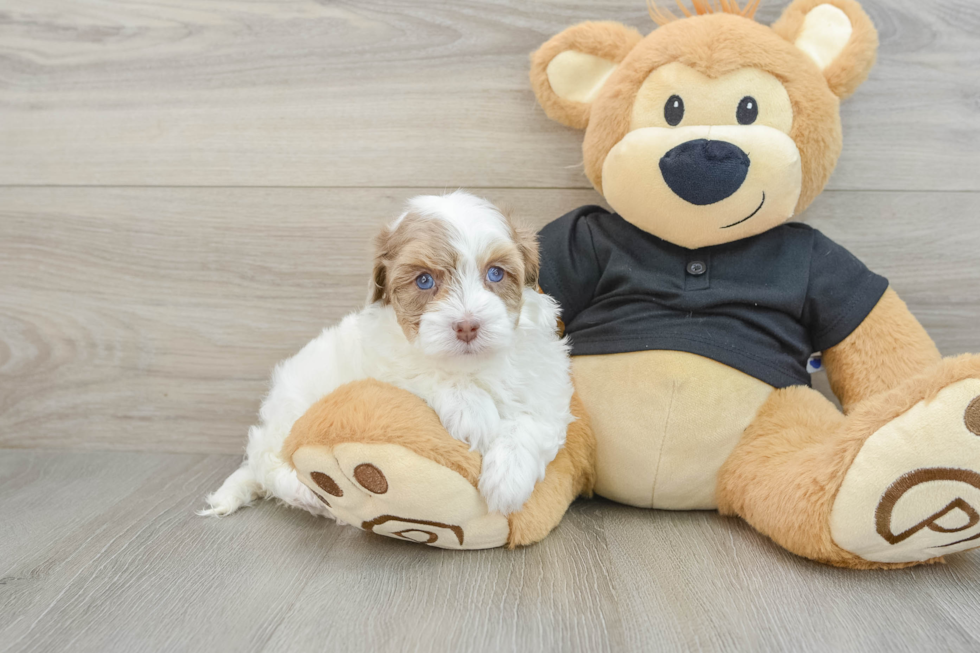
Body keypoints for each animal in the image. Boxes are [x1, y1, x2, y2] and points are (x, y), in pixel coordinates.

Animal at [203, 191, 580, 516]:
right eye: (424, 280)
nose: (467, 326)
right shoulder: (384, 362)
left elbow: (534, 422)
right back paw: (305, 492)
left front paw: (508, 481)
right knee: (264, 456)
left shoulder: (546, 384)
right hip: (291, 405)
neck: (471, 365)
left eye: (496, 273)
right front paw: (472, 411)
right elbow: (424, 371)